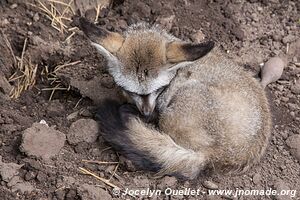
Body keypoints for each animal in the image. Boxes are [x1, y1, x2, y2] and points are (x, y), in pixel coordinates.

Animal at [77, 17, 272, 180]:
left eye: (157, 89)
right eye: (133, 91)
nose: (146, 113)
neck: (177, 73)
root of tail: (219, 156)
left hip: (178, 106)